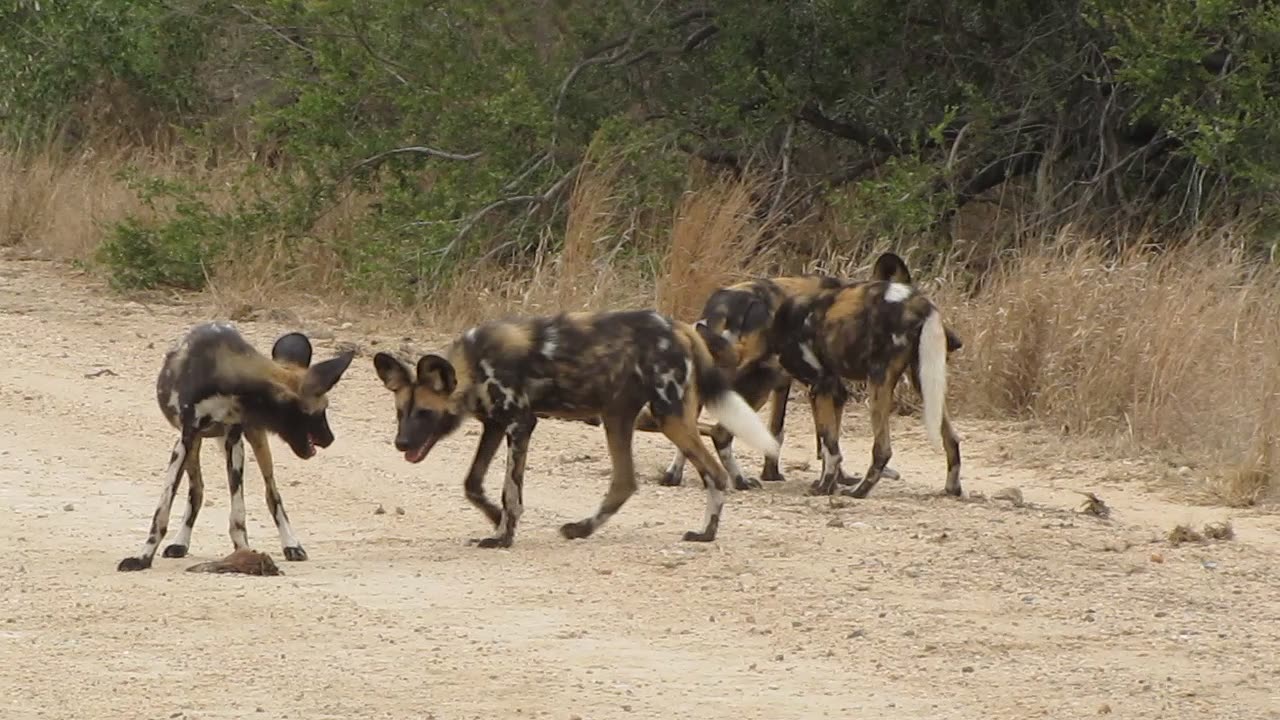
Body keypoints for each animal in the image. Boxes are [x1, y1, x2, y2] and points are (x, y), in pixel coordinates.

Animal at [116, 322, 355, 568]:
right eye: (320, 412)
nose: (330, 438)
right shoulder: (187, 437)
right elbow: (161, 512)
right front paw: (142, 557)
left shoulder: (234, 438)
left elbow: (238, 513)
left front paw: (243, 552)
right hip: (191, 445)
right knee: (197, 490)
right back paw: (180, 541)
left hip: (255, 439)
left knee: (272, 494)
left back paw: (291, 544)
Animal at [371, 304, 778, 545]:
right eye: (400, 413)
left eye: (425, 413)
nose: (401, 443)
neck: (474, 365)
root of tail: (679, 327)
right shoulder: (494, 426)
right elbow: (473, 484)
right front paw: (496, 520)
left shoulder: (520, 424)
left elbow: (510, 491)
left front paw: (503, 535)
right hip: (618, 418)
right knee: (624, 482)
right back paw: (582, 528)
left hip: (668, 416)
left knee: (714, 474)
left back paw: (705, 534)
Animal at [768, 271, 962, 497]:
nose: (957, 342)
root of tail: (920, 303)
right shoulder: (829, 389)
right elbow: (829, 445)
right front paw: (829, 485)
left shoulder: (820, 385)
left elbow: (829, 447)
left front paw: (825, 487)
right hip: (923, 380)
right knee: (952, 439)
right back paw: (952, 488)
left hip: (878, 382)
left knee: (882, 449)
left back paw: (859, 491)